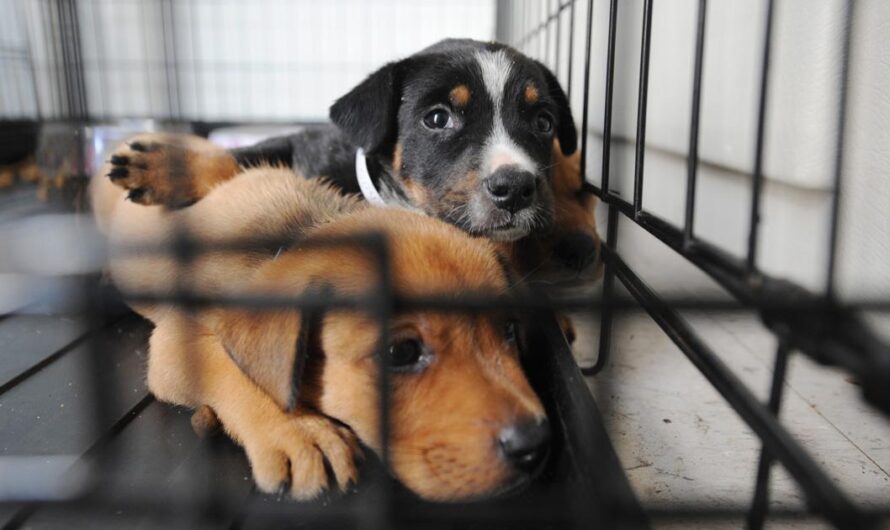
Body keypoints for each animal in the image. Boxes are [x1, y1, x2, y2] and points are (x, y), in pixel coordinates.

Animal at [90, 151, 548, 502]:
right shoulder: (174, 345)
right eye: (401, 352)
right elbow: (234, 369)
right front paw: (297, 431)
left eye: (509, 331)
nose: (535, 447)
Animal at [107, 39, 600, 278]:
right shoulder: (306, 145)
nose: (515, 187)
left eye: (543, 123)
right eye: (437, 118)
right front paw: (164, 166)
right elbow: (243, 158)